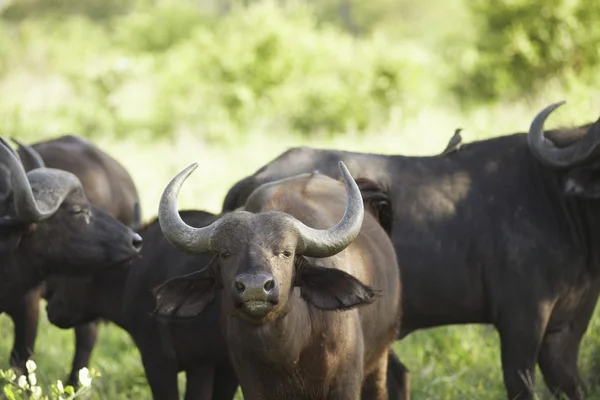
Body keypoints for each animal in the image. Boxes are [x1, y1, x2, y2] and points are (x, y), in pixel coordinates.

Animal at [155, 162, 400, 400]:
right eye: (225, 253)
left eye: (286, 253)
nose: (254, 288)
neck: (288, 355)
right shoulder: (251, 384)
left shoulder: (345, 383)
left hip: (380, 356)